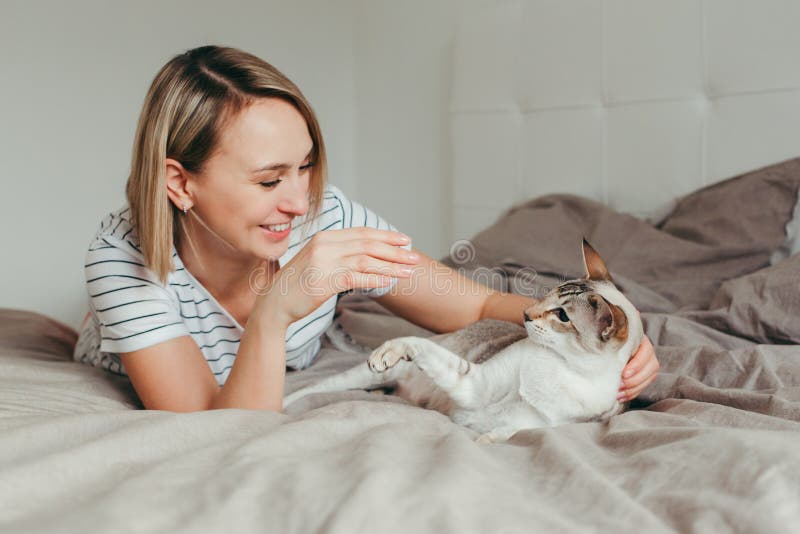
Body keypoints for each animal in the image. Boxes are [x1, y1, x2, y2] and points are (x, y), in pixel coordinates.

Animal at [282, 241, 644, 446]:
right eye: (549, 295)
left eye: (562, 315)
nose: (526, 315)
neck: (563, 369)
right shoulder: (475, 383)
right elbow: (416, 345)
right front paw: (392, 349)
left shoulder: (535, 423)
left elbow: (504, 434)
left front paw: (486, 439)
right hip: (363, 374)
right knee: (311, 389)